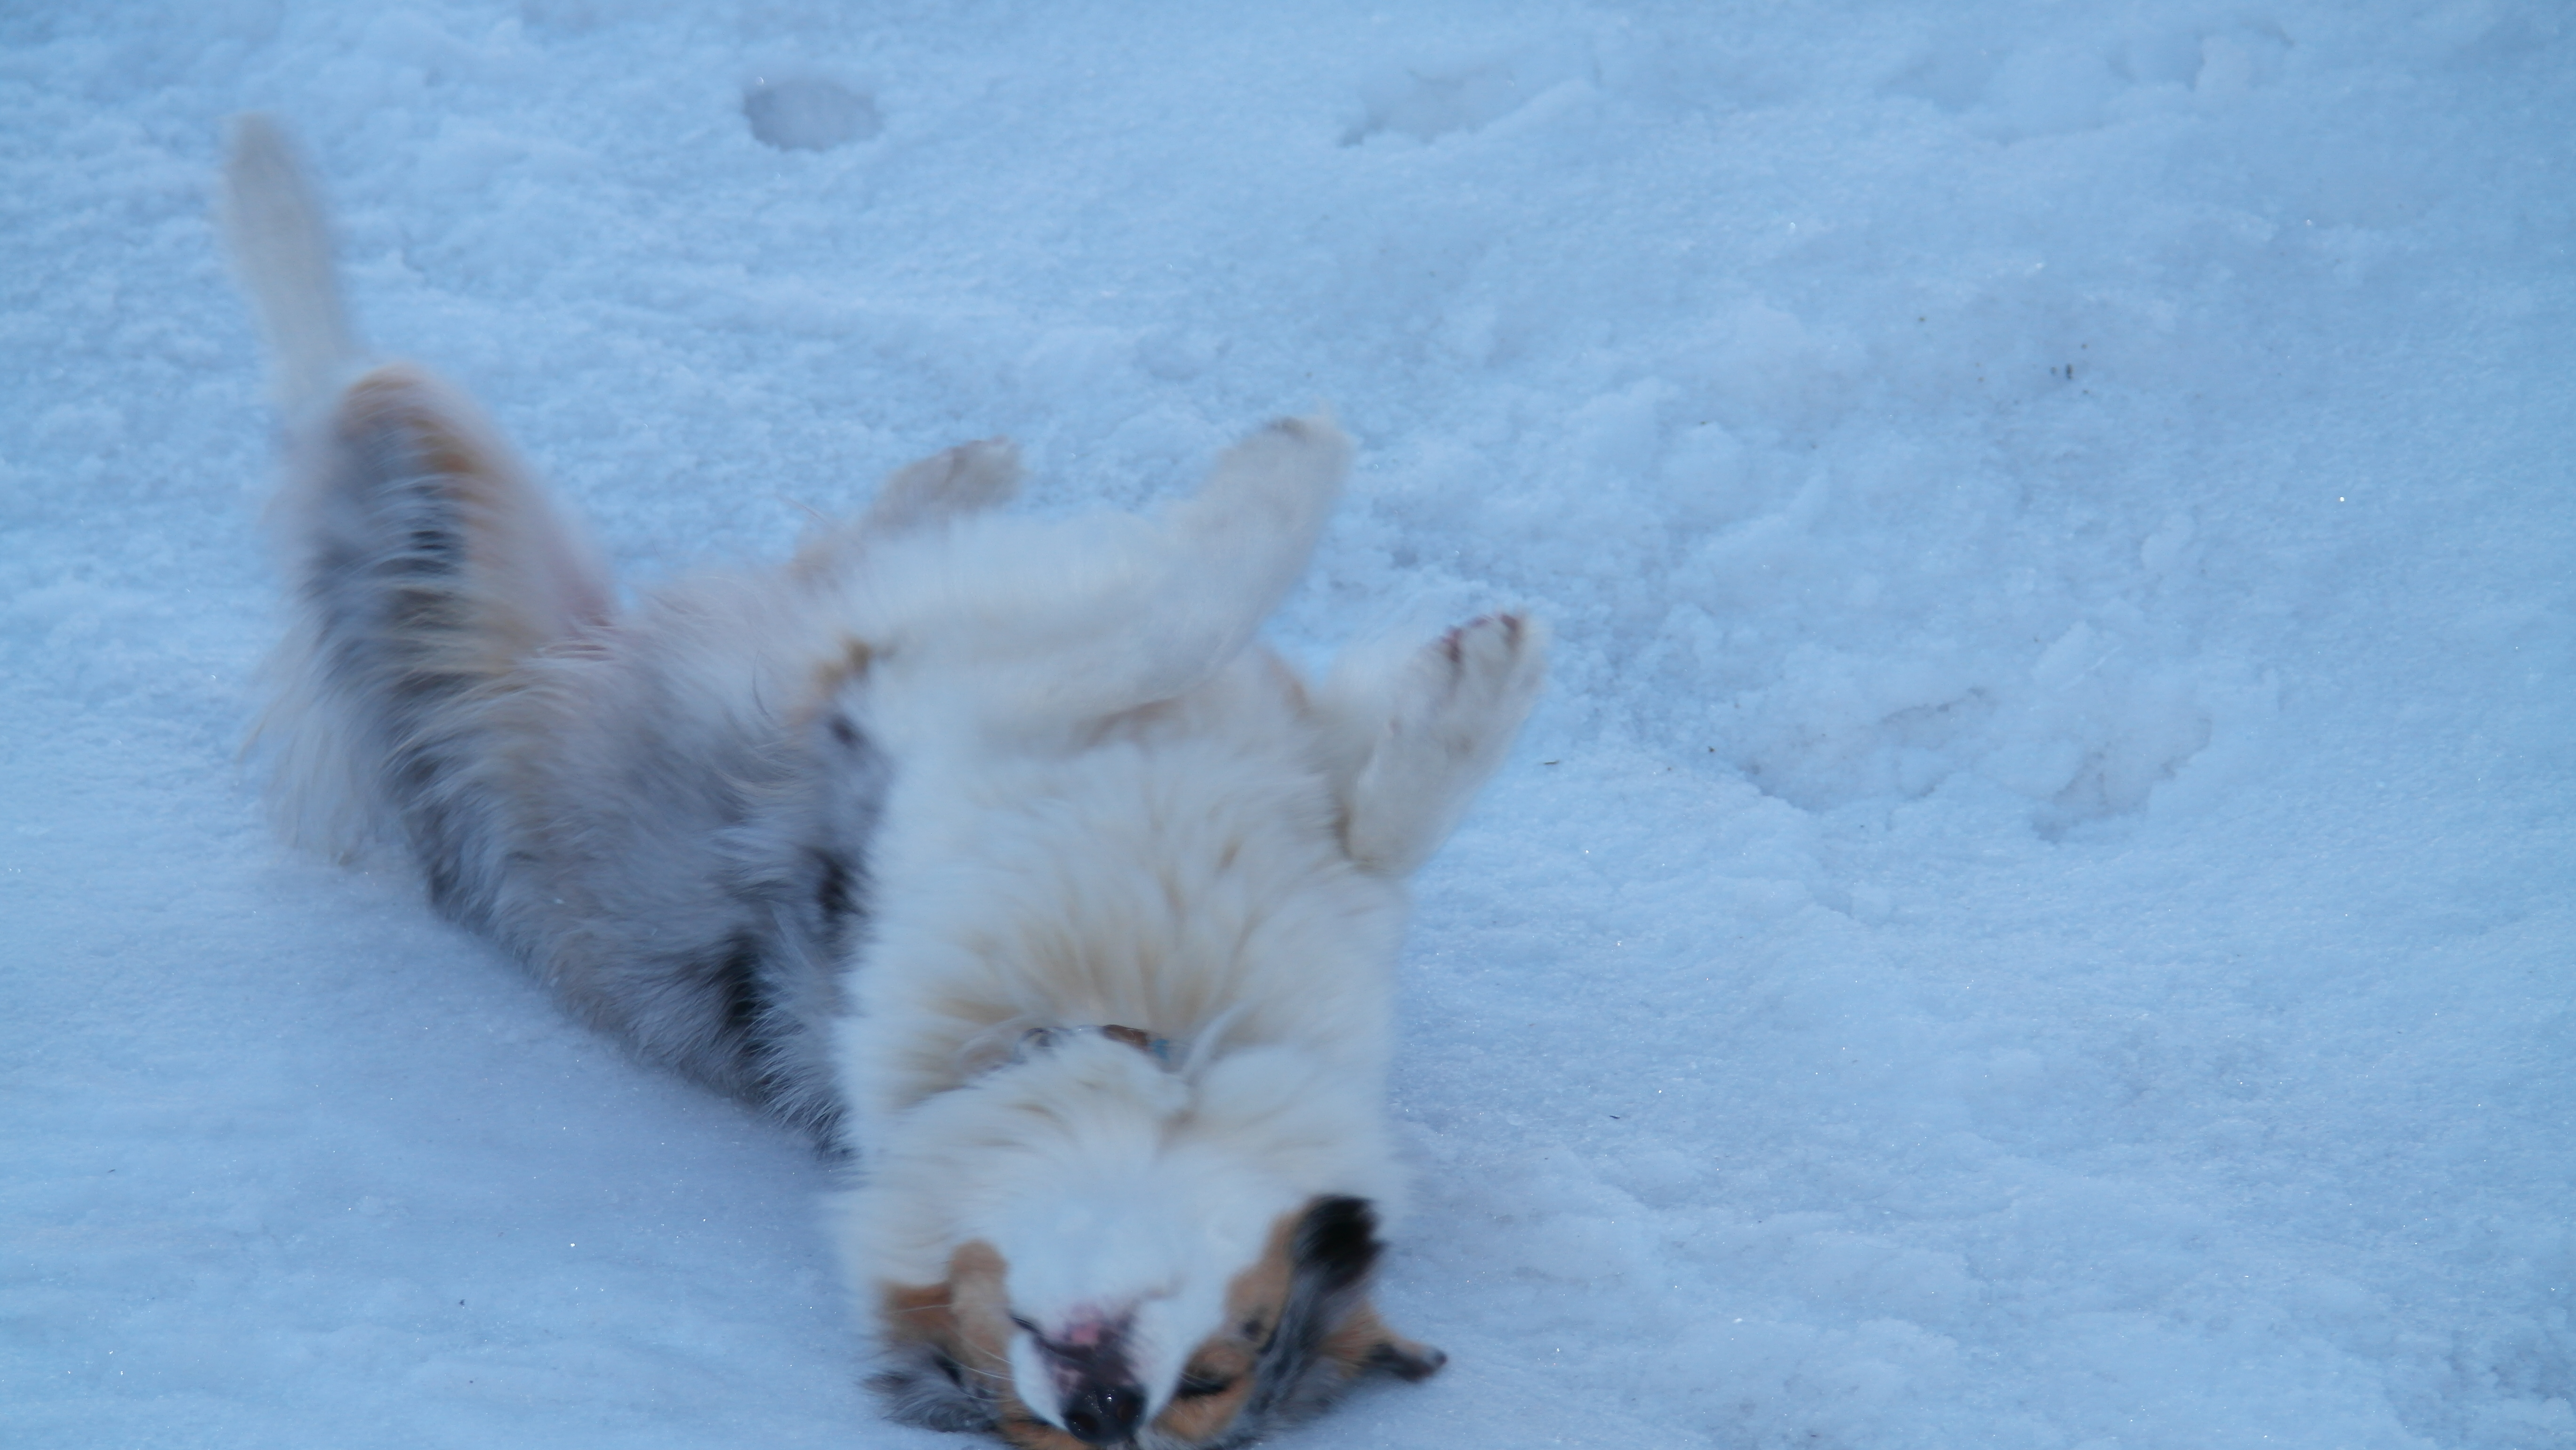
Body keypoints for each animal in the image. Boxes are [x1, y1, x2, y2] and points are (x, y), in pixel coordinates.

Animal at [220, 115, 1545, 1448]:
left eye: (1218, 1379)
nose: (1102, 1407)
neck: (1142, 1014)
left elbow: (1344, 791)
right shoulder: (940, 716)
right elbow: (1223, 650)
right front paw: (1375, 545)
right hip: (456, 509)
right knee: (346, 379)